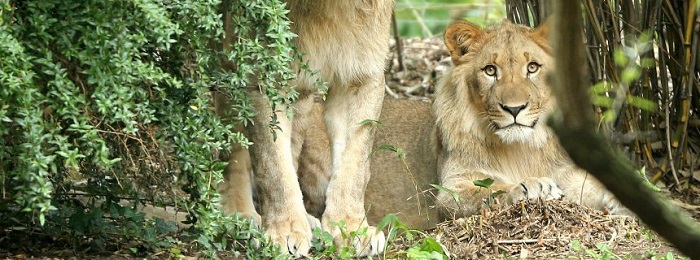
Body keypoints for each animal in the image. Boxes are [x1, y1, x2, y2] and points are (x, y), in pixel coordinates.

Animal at [434, 21, 628, 218]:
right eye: (490, 70)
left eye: (532, 67)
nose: (514, 108)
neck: (520, 148)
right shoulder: (451, 190)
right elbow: (490, 189)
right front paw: (533, 186)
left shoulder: (568, 172)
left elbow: (593, 186)